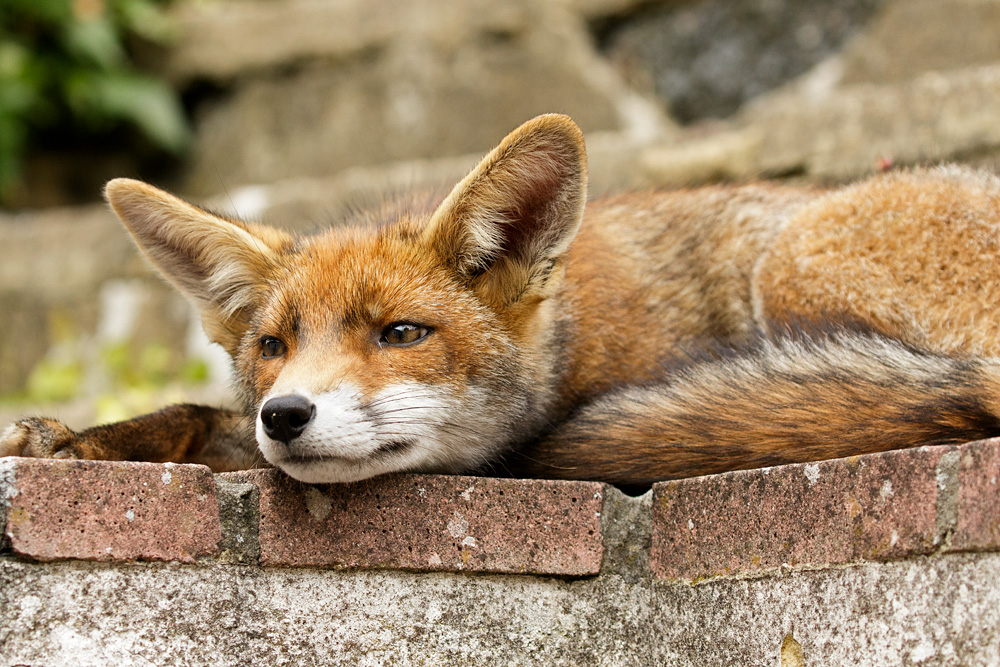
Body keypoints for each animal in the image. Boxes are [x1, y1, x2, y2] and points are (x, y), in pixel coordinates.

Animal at [5, 113, 1000, 490]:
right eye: (272, 348)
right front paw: (71, 440)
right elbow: (189, 418)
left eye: (402, 333)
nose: (285, 416)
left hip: (792, 260)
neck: (575, 341)